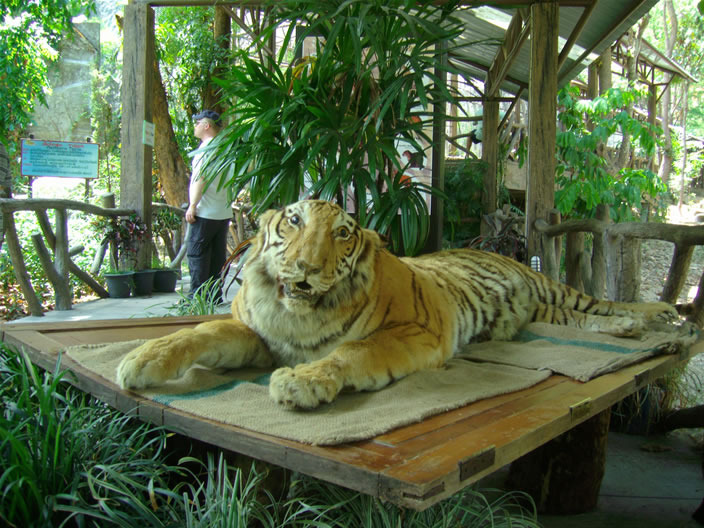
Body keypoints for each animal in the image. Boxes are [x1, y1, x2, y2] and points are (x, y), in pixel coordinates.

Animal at [117, 199, 678, 409]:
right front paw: (140, 359)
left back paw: (658, 317)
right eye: (294, 221)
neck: (293, 315)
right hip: (549, 310)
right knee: (586, 318)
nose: (306, 267)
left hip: (551, 289)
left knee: (602, 302)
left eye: (342, 233)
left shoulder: (416, 332)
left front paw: (300, 383)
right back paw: (627, 330)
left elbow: (350, 353)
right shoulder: (257, 335)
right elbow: (199, 333)